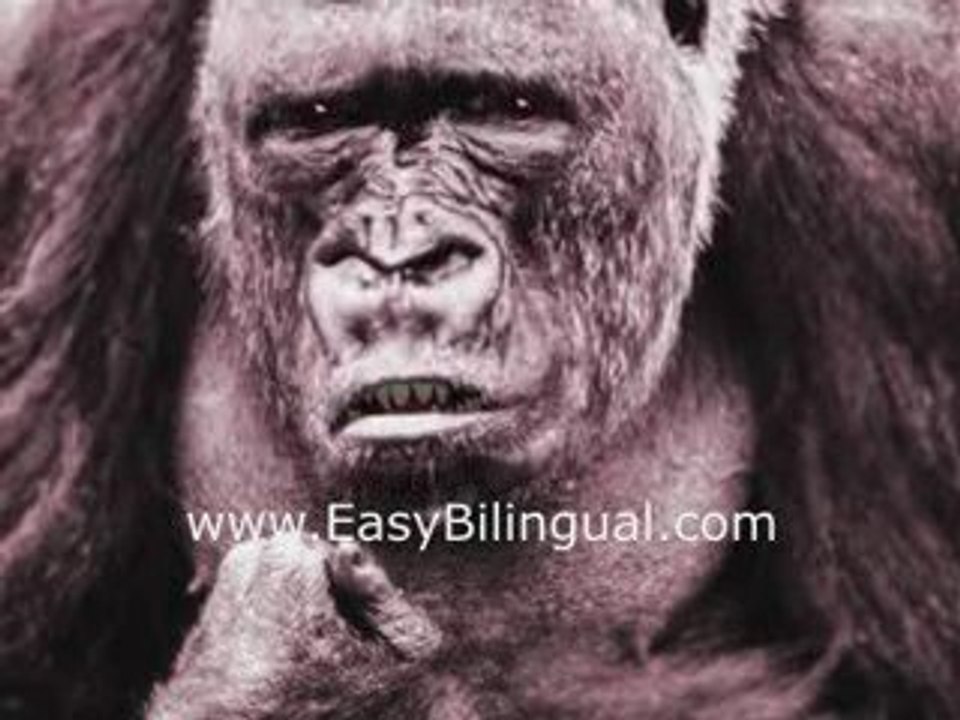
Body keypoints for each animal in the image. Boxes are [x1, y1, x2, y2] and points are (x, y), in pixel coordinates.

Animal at [1, 0, 959, 718]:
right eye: (321, 119)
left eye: (501, 110)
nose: (399, 256)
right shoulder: (54, 108)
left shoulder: (893, 128)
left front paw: (319, 684)